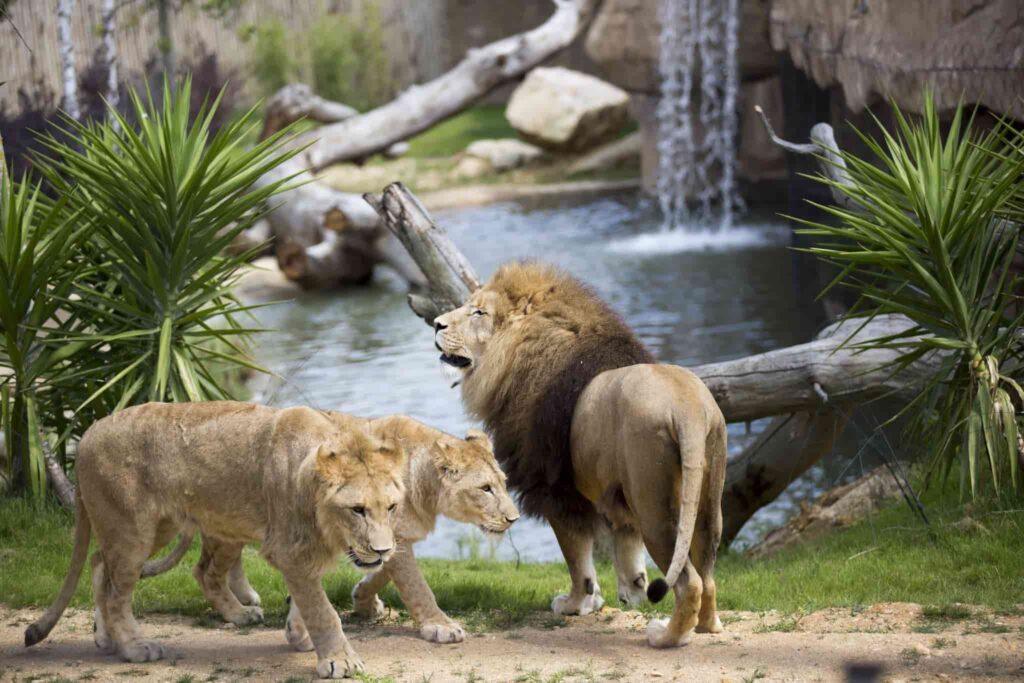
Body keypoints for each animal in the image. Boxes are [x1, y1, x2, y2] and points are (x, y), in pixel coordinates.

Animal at [24, 401, 407, 679]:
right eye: (357, 510)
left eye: (391, 507)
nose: (383, 551)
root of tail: (88, 433)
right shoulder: (289, 550)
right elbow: (323, 610)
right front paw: (340, 660)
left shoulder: (304, 554)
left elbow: (306, 601)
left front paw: (299, 636)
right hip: (131, 530)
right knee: (117, 592)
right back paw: (134, 648)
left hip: (156, 528)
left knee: (100, 565)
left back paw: (106, 638)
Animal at [432, 260, 729, 647]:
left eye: (479, 312)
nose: (436, 324)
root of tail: (688, 409)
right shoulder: (616, 496)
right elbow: (626, 549)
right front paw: (633, 591)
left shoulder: (554, 490)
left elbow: (576, 560)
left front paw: (577, 604)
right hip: (707, 505)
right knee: (707, 576)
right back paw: (708, 626)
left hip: (656, 509)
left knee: (688, 583)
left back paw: (666, 636)